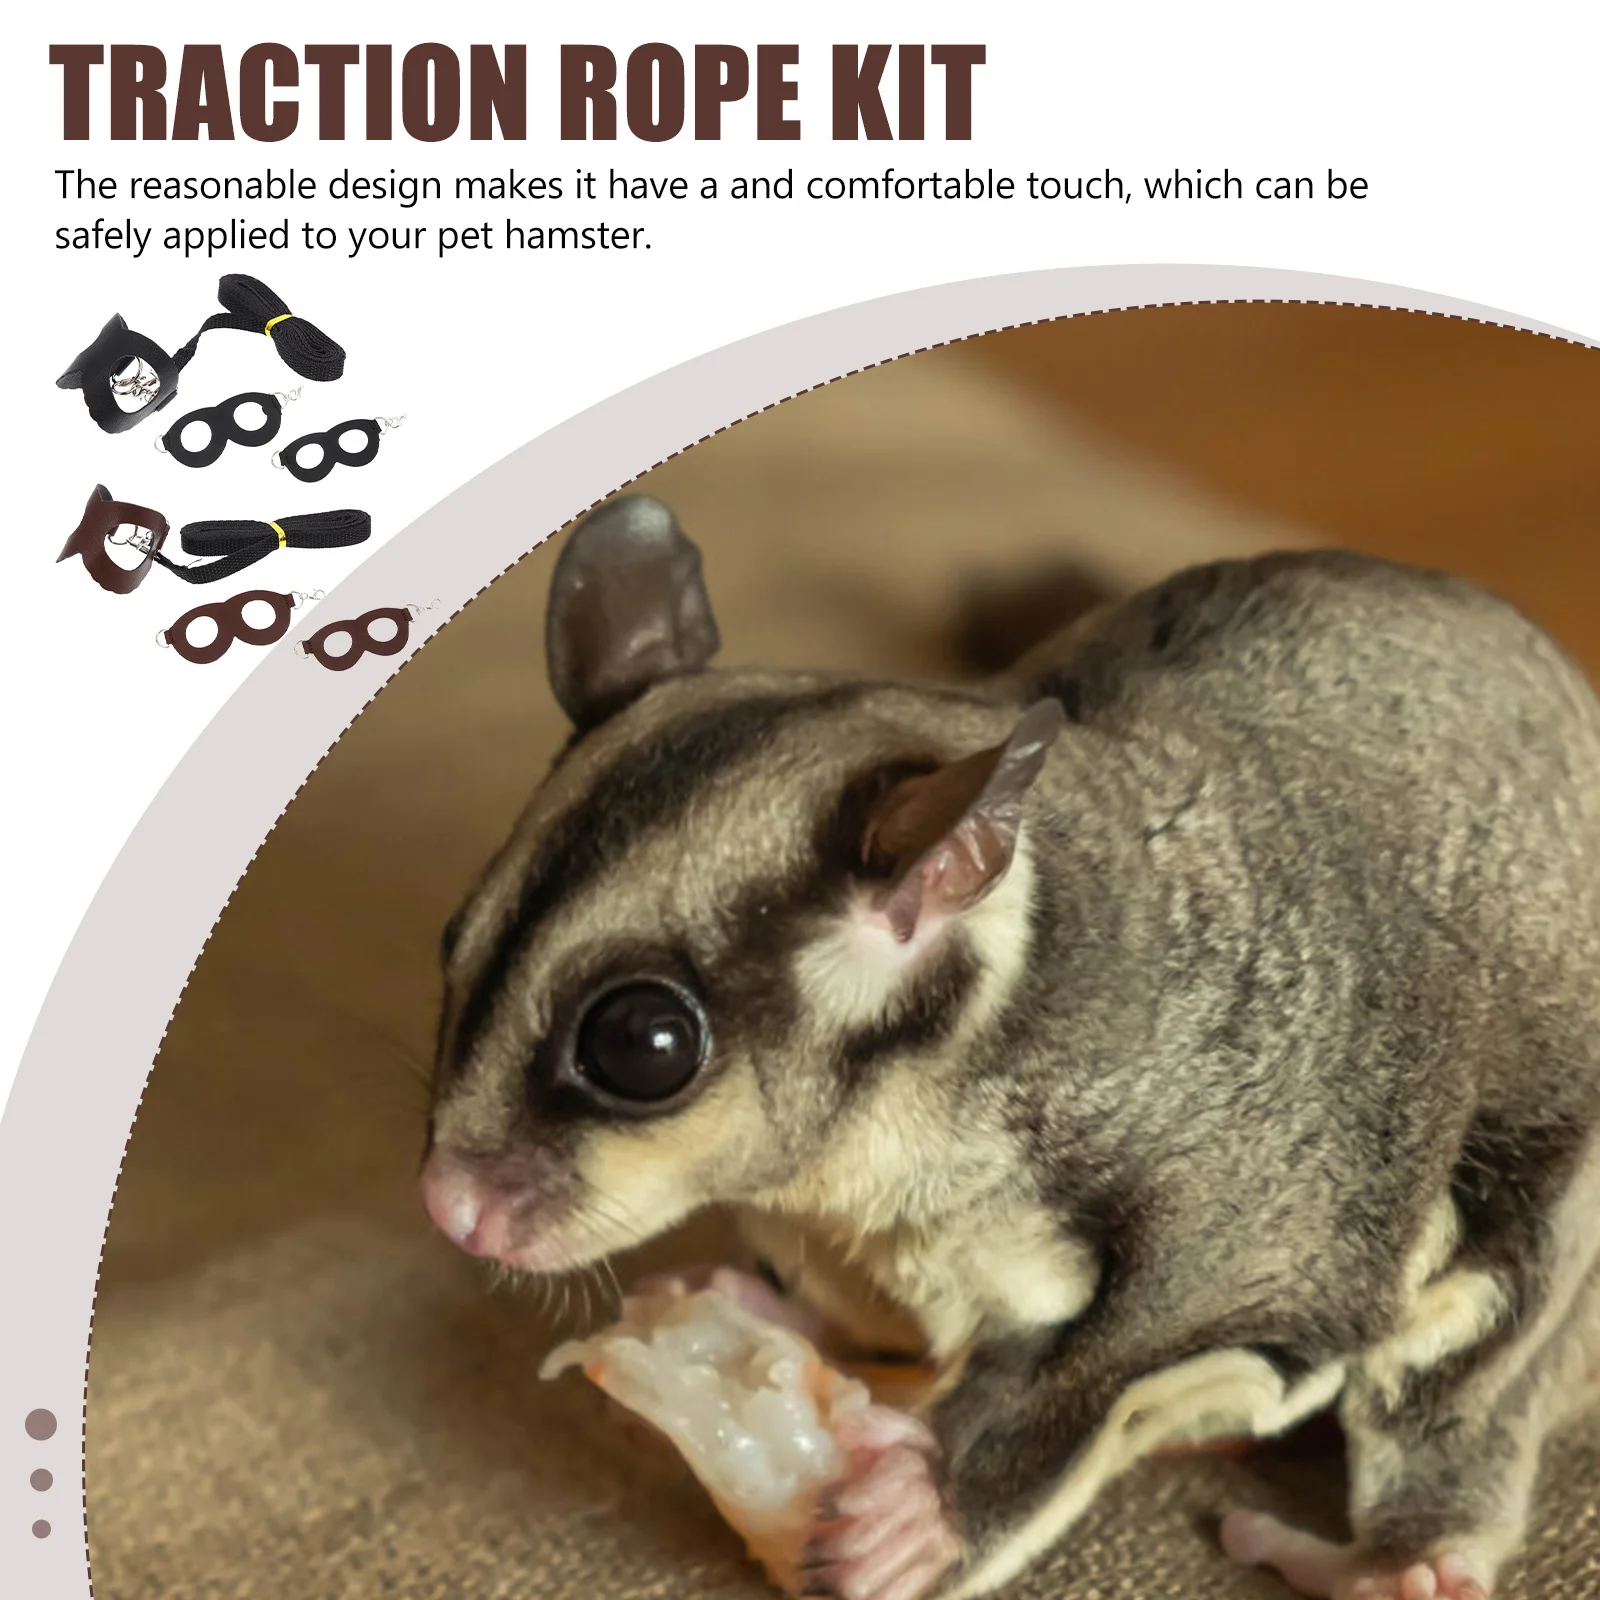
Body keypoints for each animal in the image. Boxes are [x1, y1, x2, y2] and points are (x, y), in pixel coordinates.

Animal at [421, 495, 1600, 1600]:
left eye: (644, 1042)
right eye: (454, 946)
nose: (449, 1208)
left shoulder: (1265, 1194)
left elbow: (1148, 1344)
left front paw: (927, 1514)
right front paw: (753, 1317)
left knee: (1489, 1336)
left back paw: (1400, 1559)